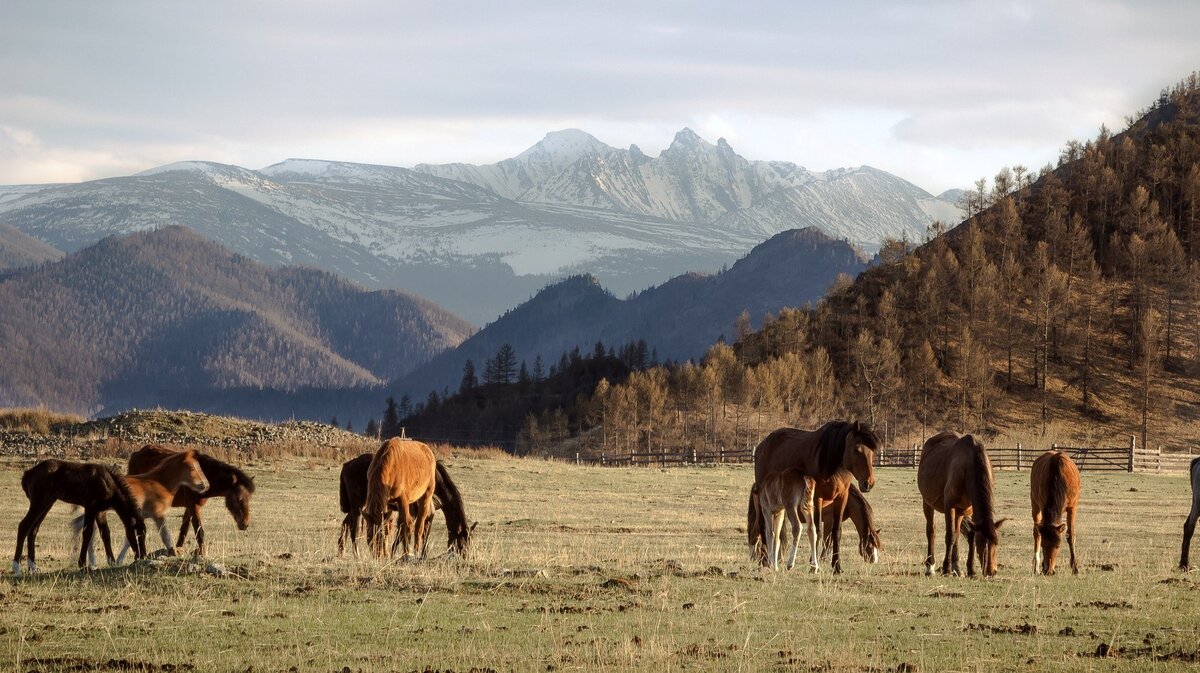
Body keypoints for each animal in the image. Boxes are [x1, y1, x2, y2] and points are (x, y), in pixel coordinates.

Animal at [13, 455, 145, 571]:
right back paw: (16, 567)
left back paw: (33, 567)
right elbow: (87, 532)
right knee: (24, 526)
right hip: (38, 503)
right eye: (137, 534)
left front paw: (111, 562)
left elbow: (105, 533)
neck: (107, 481)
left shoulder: (100, 511)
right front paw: (82, 564)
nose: (142, 556)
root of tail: (29, 472)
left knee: (33, 530)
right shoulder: (90, 507)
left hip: (46, 505)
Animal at [126, 443, 255, 554]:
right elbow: (199, 530)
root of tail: (136, 454)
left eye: (249, 498)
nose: (245, 524)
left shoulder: (190, 507)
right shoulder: (193, 505)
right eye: (239, 498)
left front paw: (178, 550)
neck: (204, 473)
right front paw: (202, 553)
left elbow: (184, 529)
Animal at [340, 453, 475, 559]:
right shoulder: (420, 513)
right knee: (354, 528)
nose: (465, 558)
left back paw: (341, 551)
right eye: (462, 543)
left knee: (346, 523)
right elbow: (415, 534)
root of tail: (347, 465)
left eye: (470, 542)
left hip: (360, 508)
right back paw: (357, 554)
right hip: (358, 506)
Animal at [748, 419, 883, 571]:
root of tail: (762, 445)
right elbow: (818, 532)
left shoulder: (841, 497)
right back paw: (765, 560)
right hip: (765, 503)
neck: (833, 465)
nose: (868, 483)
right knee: (761, 528)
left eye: (873, 452)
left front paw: (836, 566)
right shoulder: (818, 498)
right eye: (857, 449)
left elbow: (836, 533)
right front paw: (815, 563)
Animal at [916, 431, 1003, 575]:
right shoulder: (949, 506)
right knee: (931, 531)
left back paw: (956, 568)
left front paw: (970, 570)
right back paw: (930, 567)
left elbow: (968, 536)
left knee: (957, 533)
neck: (969, 465)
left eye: (996, 543)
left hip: (959, 512)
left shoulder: (968, 509)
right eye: (983, 543)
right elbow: (950, 535)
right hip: (927, 504)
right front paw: (946, 569)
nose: (991, 571)